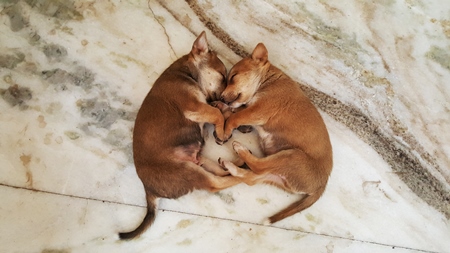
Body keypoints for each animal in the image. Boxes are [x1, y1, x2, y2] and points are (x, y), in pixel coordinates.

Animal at [118, 31, 241, 239]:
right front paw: (222, 129)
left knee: (220, 171)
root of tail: (149, 191)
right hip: (188, 171)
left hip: (199, 160)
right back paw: (248, 174)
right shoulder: (195, 107)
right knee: (218, 183)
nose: (224, 98)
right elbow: (216, 114)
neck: (186, 73)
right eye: (222, 76)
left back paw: (237, 164)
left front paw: (226, 115)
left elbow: (219, 113)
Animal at [216, 42, 332, 224]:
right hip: (276, 174)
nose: (220, 97)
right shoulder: (251, 110)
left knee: (258, 166)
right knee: (252, 177)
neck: (267, 81)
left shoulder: (258, 111)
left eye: (233, 77)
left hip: (291, 157)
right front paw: (223, 107)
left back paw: (240, 149)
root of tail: (322, 184)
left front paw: (226, 130)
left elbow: (235, 117)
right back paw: (230, 165)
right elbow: (235, 110)